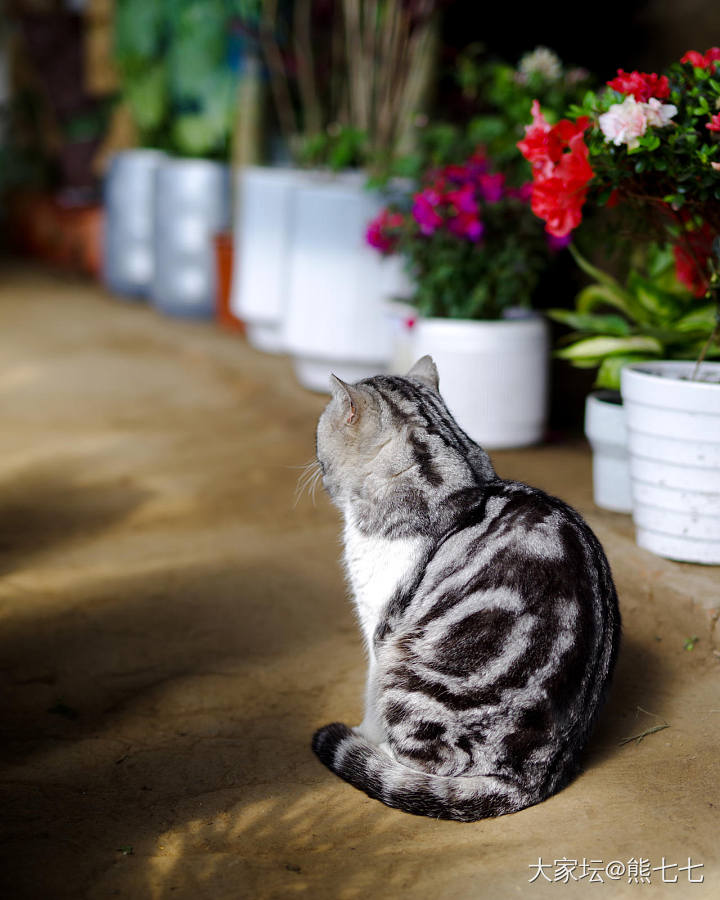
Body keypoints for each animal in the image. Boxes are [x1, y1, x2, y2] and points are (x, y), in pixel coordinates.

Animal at [312, 356, 620, 820]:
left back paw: (379, 756)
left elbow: (370, 697)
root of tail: (531, 778)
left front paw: (364, 735)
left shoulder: (381, 632)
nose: (316, 464)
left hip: (408, 669)